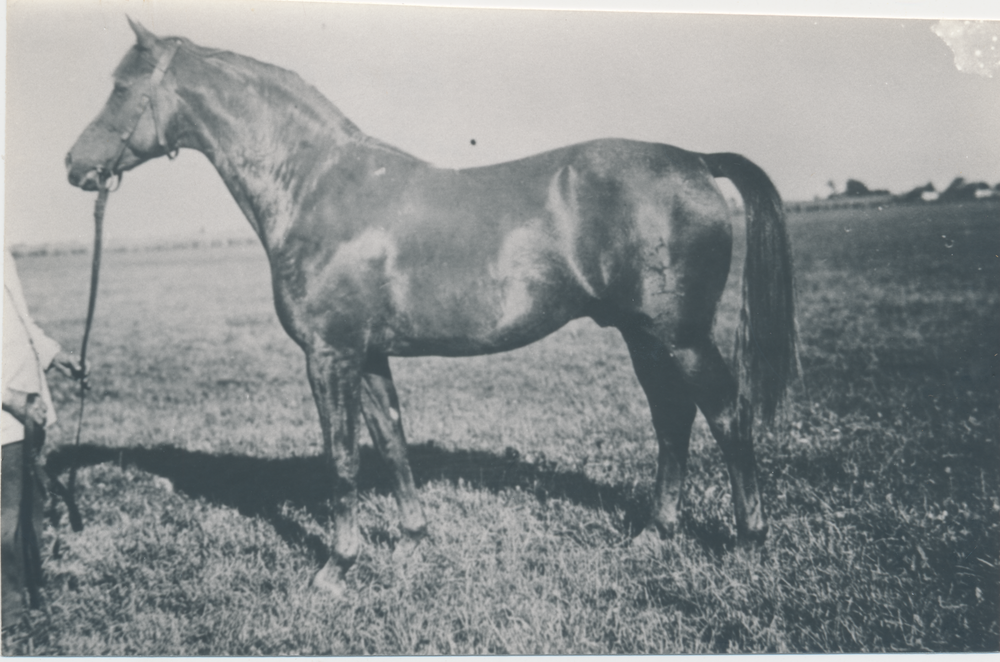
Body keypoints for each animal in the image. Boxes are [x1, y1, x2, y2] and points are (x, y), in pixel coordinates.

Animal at [64, 19, 796, 596]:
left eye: (122, 86)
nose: (75, 166)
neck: (317, 187)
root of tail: (695, 160)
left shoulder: (329, 354)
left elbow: (342, 457)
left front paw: (336, 568)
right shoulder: (369, 355)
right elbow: (391, 442)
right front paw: (413, 538)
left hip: (681, 337)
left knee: (726, 417)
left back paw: (748, 540)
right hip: (643, 336)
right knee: (672, 421)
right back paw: (655, 533)